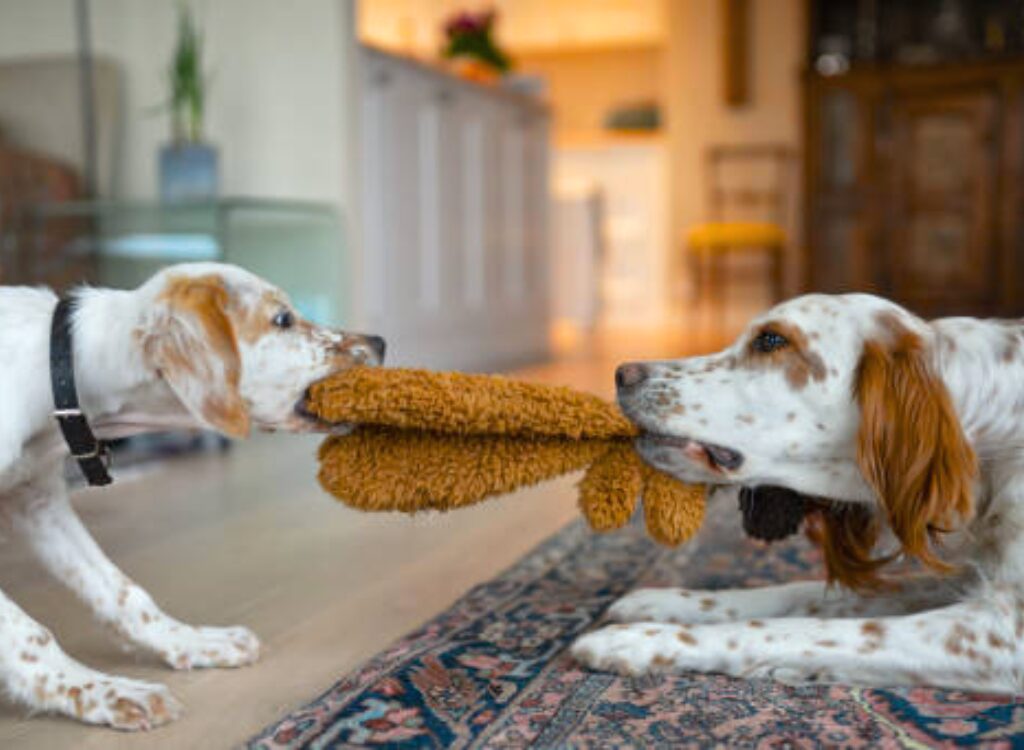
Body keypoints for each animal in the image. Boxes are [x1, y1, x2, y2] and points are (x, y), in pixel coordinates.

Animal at [0, 262, 382, 725]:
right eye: (282, 319)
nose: (380, 342)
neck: (55, 372)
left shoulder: (36, 498)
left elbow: (120, 590)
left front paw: (191, 642)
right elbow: (27, 633)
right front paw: (99, 692)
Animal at [577, 295, 1024, 692]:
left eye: (771, 340)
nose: (622, 373)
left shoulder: (1003, 631)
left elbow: (803, 629)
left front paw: (641, 640)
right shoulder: (966, 579)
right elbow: (804, 593)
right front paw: (665, 603)